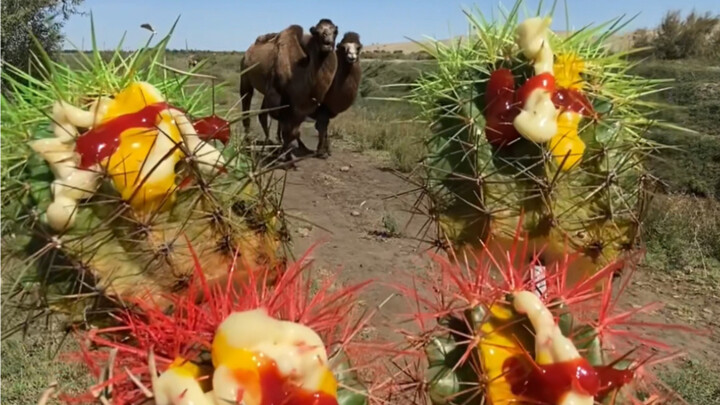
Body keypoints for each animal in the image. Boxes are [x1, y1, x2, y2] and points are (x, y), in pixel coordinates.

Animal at [238, 18, 336, 161]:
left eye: (335, 31)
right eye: (317, 32)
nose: (328, 42)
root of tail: (247, 52)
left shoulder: (299, 103)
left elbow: (293, 130)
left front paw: (290, 152)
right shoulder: (277, 96)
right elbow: (287, 128)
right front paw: (286, 154)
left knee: (263, 115)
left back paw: (270, 144)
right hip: (245, 76)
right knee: (247, 107)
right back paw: (250, 144)